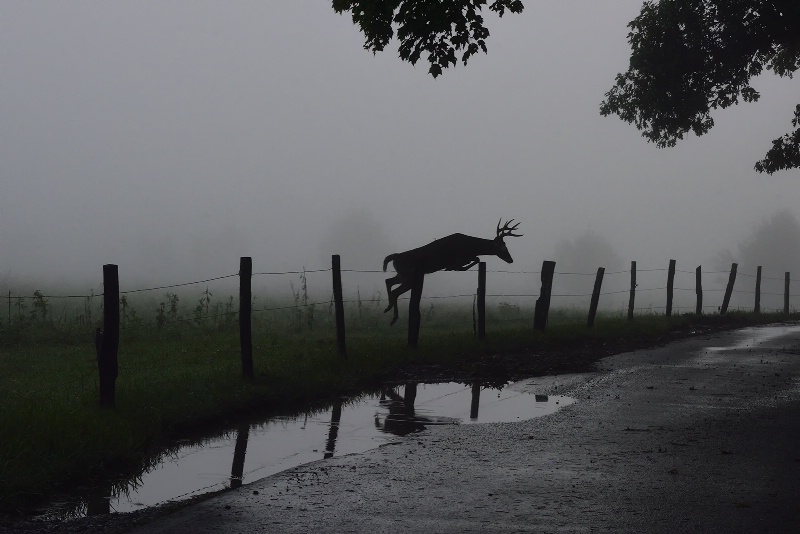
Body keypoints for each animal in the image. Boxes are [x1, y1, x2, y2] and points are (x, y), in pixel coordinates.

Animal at [382, 219, 520, 326]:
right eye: (501, 246)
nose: (511, 259)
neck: (472, 246)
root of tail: (395, 257)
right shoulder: (461, 257)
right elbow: (476, 259)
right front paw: (455, 268)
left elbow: (476, 258)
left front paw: (454, 268)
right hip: (409, 276)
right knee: (395, 291)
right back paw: (393, 317)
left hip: (402, 275)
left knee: (388, 281)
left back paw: (388, 307)